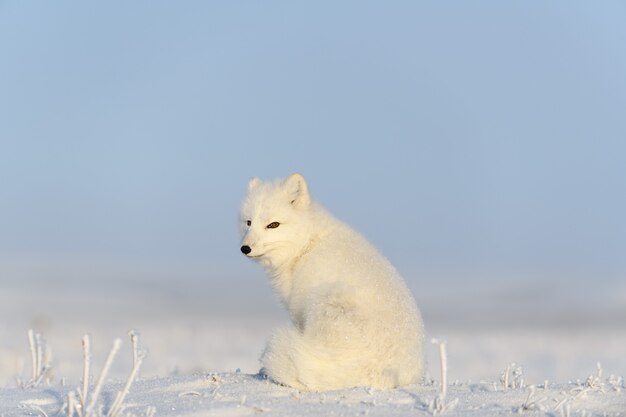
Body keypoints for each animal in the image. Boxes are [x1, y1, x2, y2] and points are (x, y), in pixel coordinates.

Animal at [239, 172, 424, 390]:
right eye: (248, 222)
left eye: (273, 225)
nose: (245, 248)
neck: (306, 245)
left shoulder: (299, 311)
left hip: (326, 302)